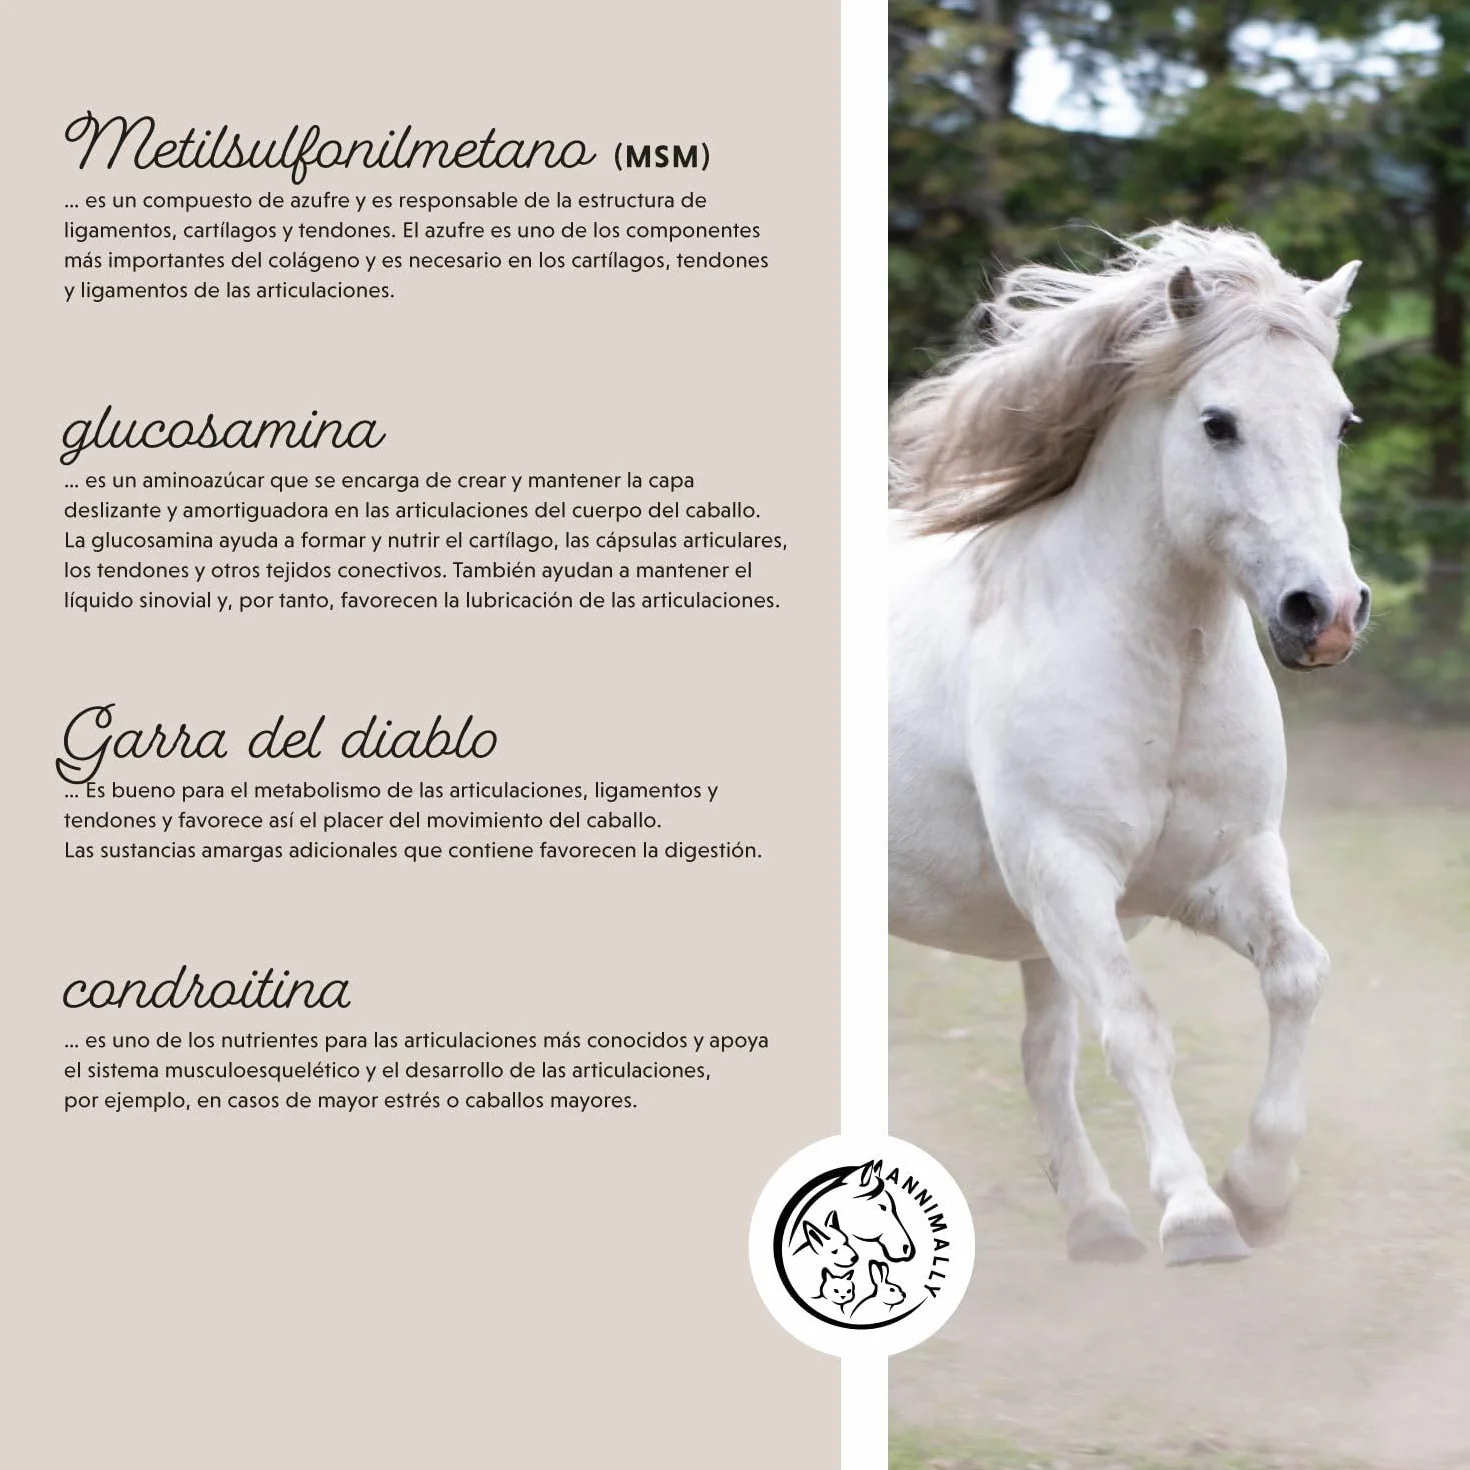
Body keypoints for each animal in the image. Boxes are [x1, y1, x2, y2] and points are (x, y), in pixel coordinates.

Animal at [888, 224, 1370, 1267]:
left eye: (1340, 423)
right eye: (1218, 423)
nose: (1325, 614)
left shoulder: (1222, 866)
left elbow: (1298, 974)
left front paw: (1260, 1188)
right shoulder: (1068, 874)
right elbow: (1138, 1029)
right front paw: (1197, 1216)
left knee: (1044, 1056)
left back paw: (1097, 1221)